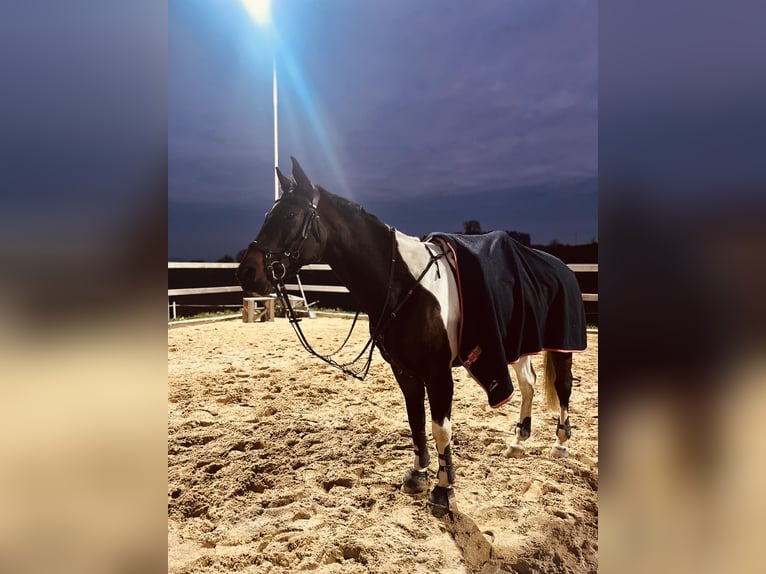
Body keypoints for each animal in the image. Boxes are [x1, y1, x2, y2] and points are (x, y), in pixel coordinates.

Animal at [236, 157, 586, 517]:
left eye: (290, 215)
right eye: (269, 214)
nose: (247, 271)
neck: (404, 284)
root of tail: (562, 267)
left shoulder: (439, 373)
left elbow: (440, 428)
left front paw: (443, 491)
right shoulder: (404, 370)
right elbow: (415, 420)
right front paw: (418, 474)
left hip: (562, 346)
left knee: (563, 388)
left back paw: (560, 445)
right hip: (518, 345)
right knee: (529, 384)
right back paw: (518, 441)